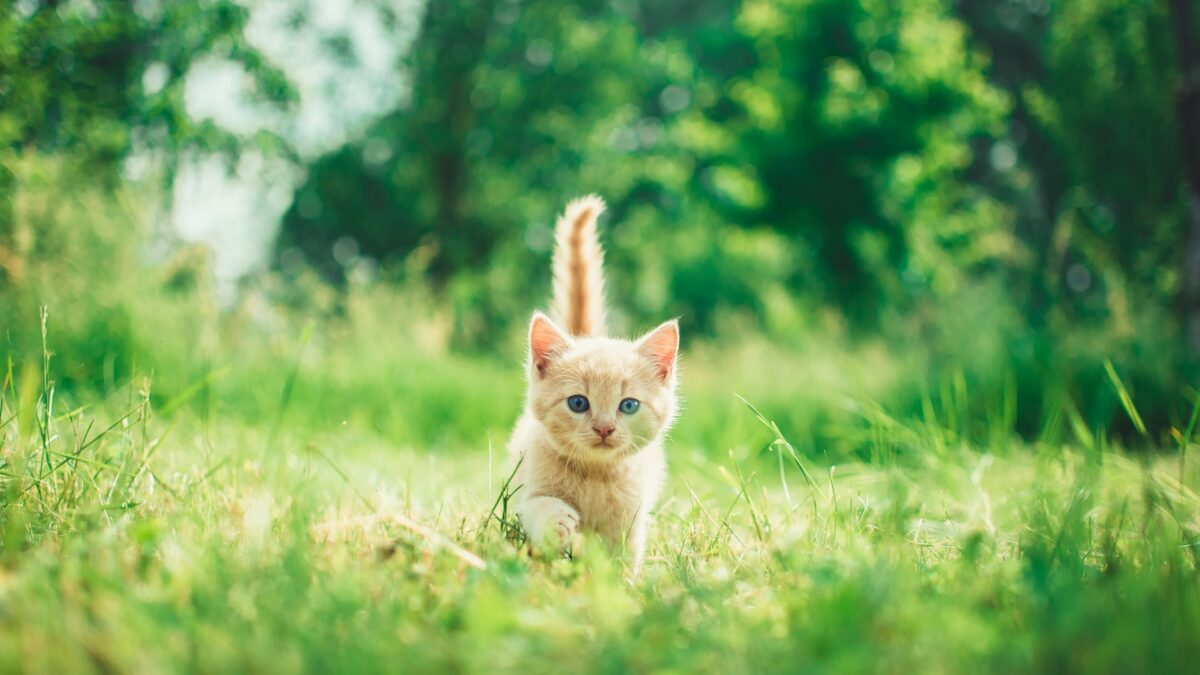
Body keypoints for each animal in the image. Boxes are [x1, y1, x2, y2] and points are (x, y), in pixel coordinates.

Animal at [506, 192, 681, 569]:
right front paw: (557, 520)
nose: (604, 428)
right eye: (578, 403)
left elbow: (623, 558)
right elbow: (536, 506)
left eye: (628, 405)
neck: (594, 476)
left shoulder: (631, 518)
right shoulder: (528, 488)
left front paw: (620, 582)